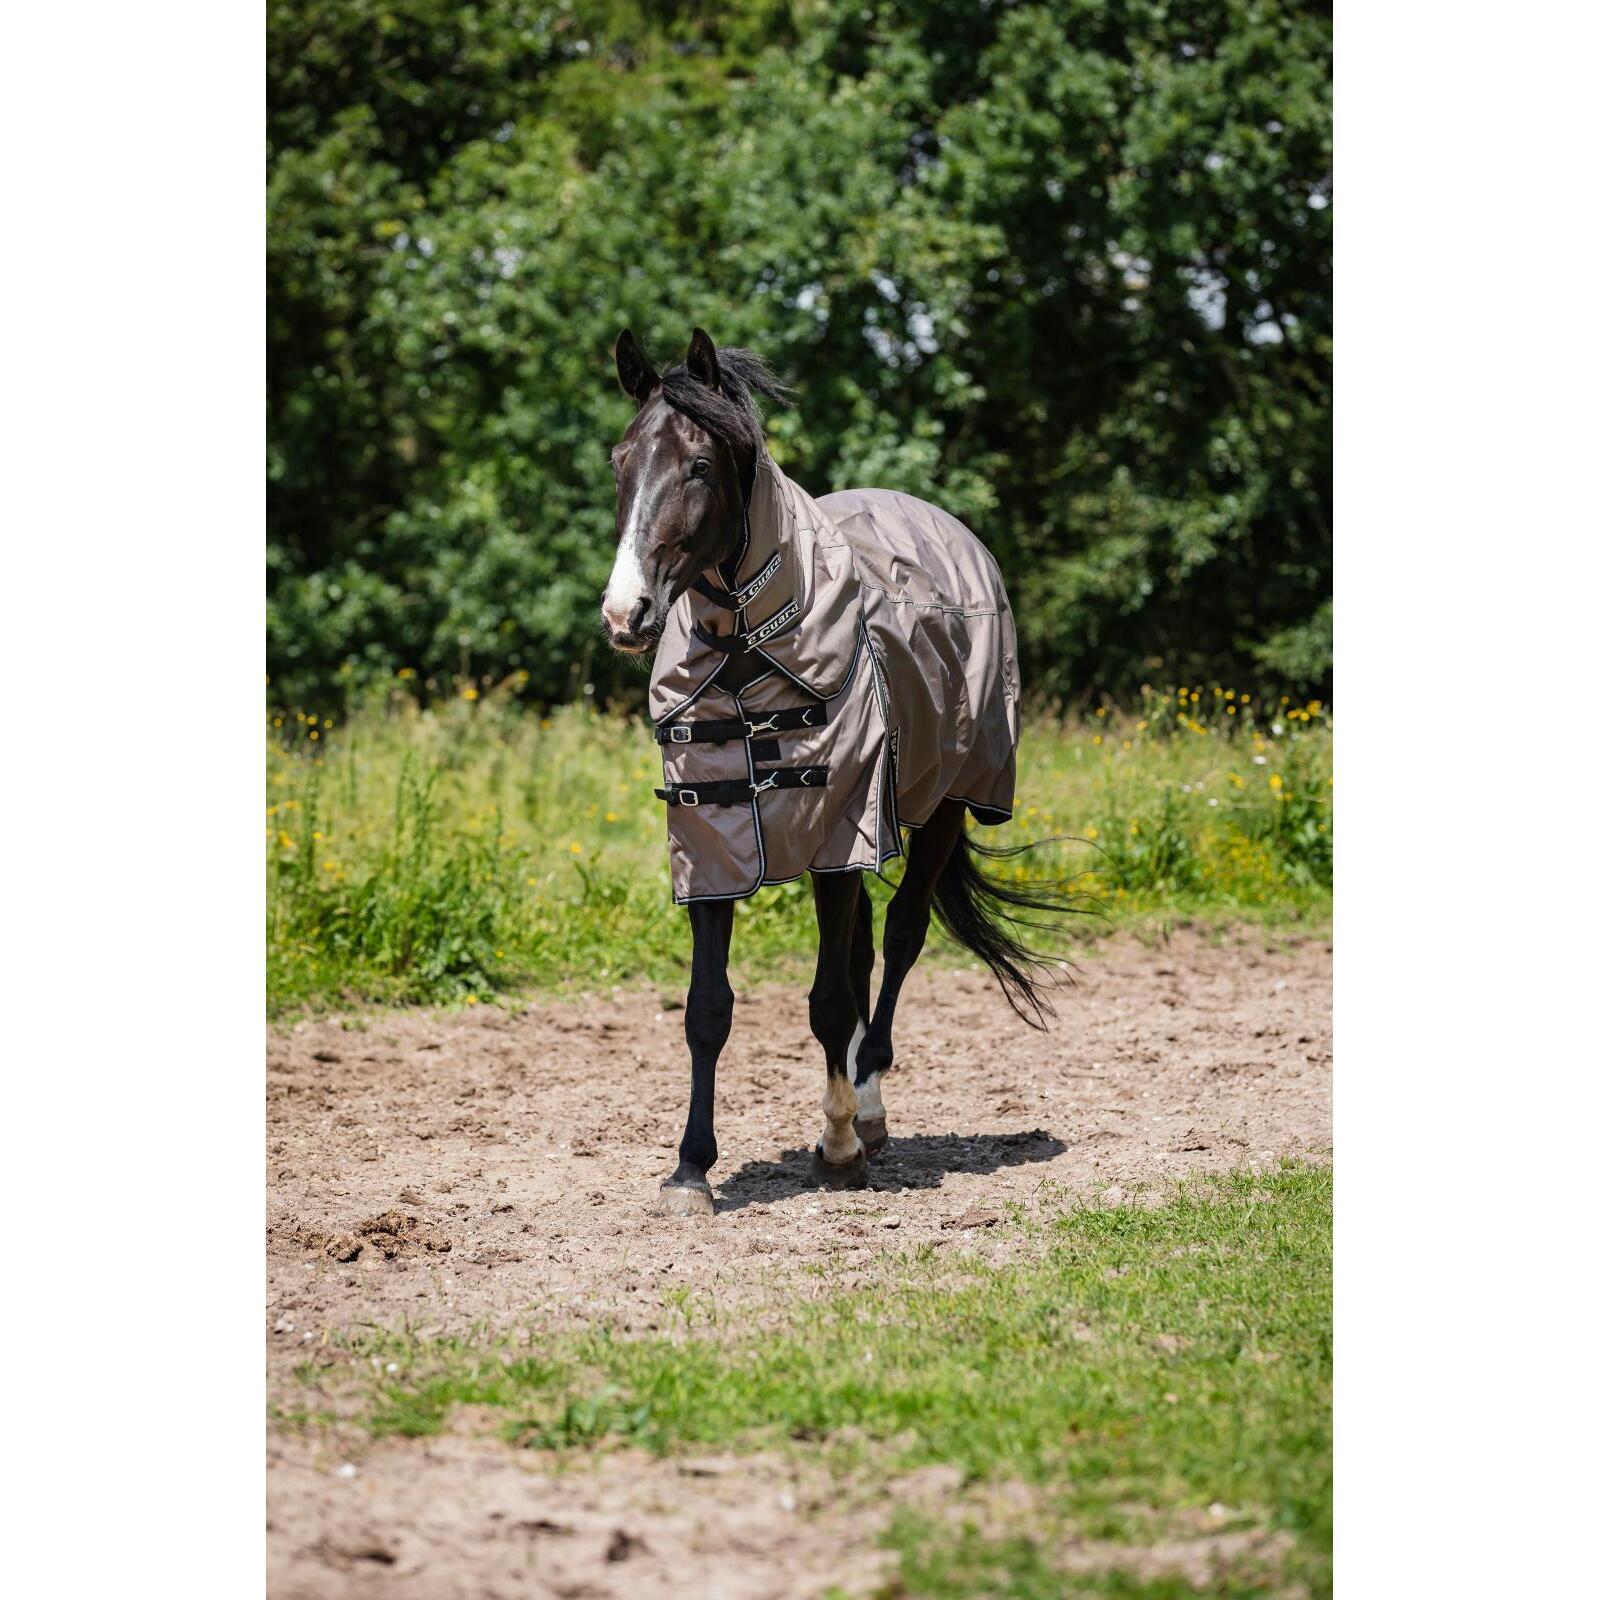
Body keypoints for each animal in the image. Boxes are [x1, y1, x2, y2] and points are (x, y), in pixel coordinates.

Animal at [602, 326, 1069, 1216]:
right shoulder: (712, 841)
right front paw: (691, 1169)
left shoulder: (837, 837)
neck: (750, 656)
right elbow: (708, 1009)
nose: (626, 613)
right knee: (859, 958)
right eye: (621, 462)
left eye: (699, 467)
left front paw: (842, 1146)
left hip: (942, 808)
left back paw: (870, 1107)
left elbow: (827, 999)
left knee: (899, 941)